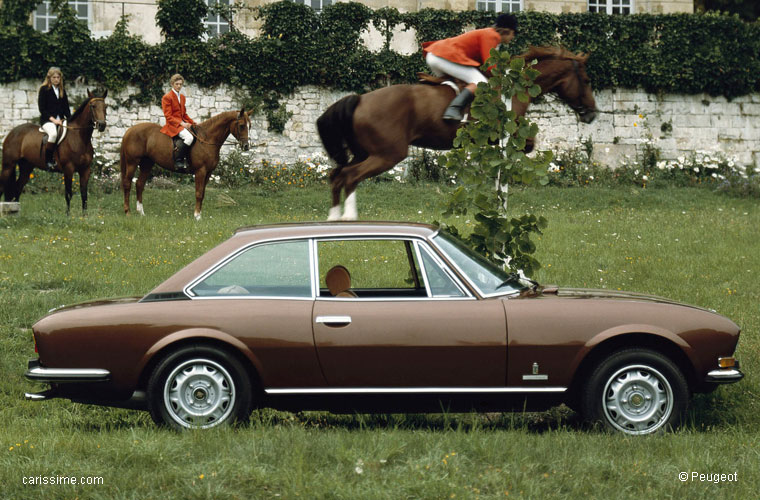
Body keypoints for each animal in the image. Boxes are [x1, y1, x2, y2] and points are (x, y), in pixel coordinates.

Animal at [121, 109, 252, 221]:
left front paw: (199, 215)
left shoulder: (208, 173)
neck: (206, 139)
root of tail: (130, 130)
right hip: (132, 162)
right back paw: (128, 212)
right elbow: (198, 193)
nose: (246, 146)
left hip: (147, 163)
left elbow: (202, 193)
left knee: (139, 184)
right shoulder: (200, 171)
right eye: (241, 125)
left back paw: (141, 212)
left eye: (250, 126)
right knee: (127, 184)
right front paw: (197, 216)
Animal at [318, 46, 596, 219]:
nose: (592, 114)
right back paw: (348, 218)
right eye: (586, 80)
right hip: (388, 155)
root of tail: (359, 99)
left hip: (365, 152)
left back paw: (332, 218)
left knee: (336, 175)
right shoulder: (509, 133)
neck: (513, 88)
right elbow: (527, 144)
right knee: (350, 177)